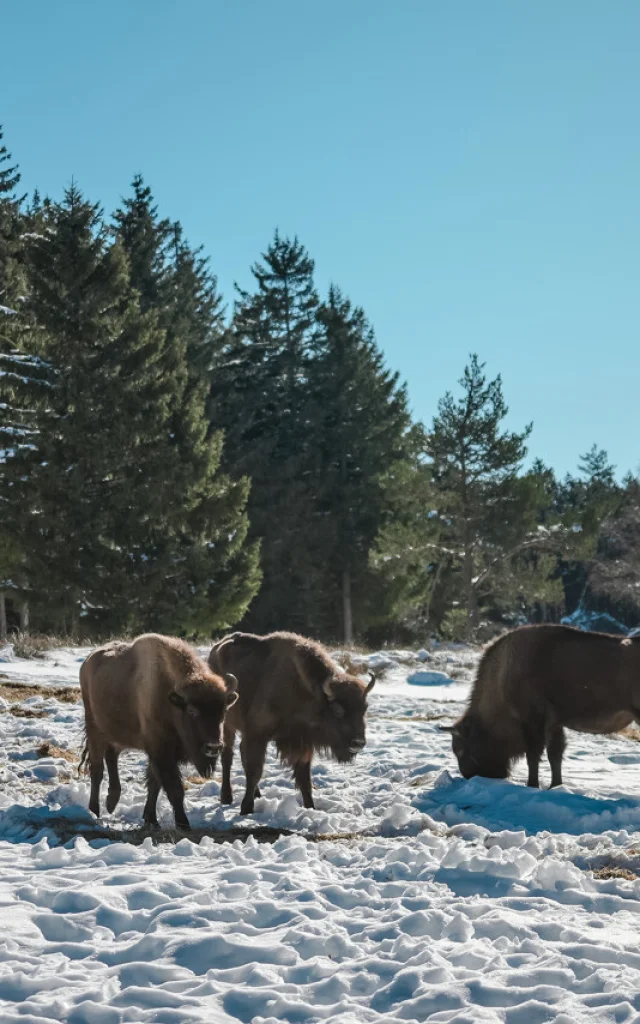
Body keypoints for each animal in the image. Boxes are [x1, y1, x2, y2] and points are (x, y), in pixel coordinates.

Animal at [79, 630, 238, 831]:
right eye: (192, 712)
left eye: (223, 711)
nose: (213, 747)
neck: (172, 702)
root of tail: (87, 662)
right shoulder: (161, 750)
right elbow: (174, 788)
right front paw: (183, 824)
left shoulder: (157, 752)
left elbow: (154, 784)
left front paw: (151, 819)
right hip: (95, 730)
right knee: (97, 770)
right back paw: (94, 810)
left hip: (116, 734)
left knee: (111, 757)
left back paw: (111, 802)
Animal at [206, 626, 374, 811]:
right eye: (337, 710)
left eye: (364, 708)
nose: (358, 743)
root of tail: (215, 650)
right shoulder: (258, 735)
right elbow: (255, 771)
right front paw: (246, 808)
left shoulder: (302, 742)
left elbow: (305, 779)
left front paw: (310, 808)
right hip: (227, 725)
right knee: (227, 756)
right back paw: (226, 797)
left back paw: (256, 794)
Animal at [442, 618, 638, 786]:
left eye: (460, 748)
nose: (469, 775)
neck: (502, 675)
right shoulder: (554, 723)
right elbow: (554, 755)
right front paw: (555, 786)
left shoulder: (532, 720)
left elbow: (533, 755)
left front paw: (532, 785)